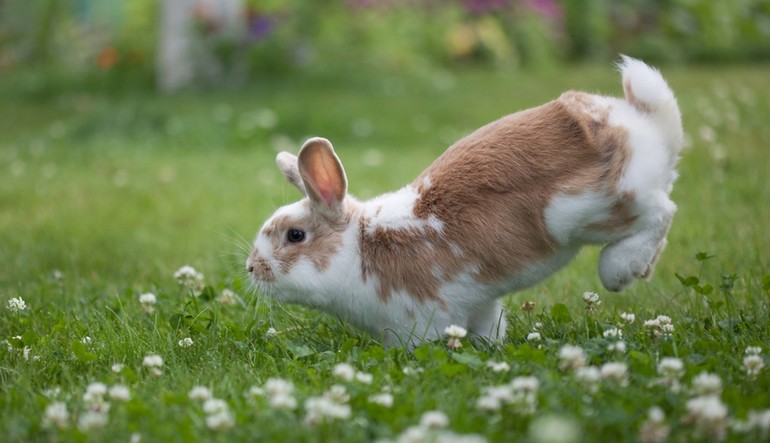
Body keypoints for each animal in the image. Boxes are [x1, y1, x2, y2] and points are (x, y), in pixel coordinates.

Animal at [244, 55, 680, 346]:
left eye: (295, 236)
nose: (251, 268)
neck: (360, 247)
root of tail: (643, 123)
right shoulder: (479, 305)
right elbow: (489, 328)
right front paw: (493, 349)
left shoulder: (419, 319)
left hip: (591, 210)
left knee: (661, 212)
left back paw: (620, 270)